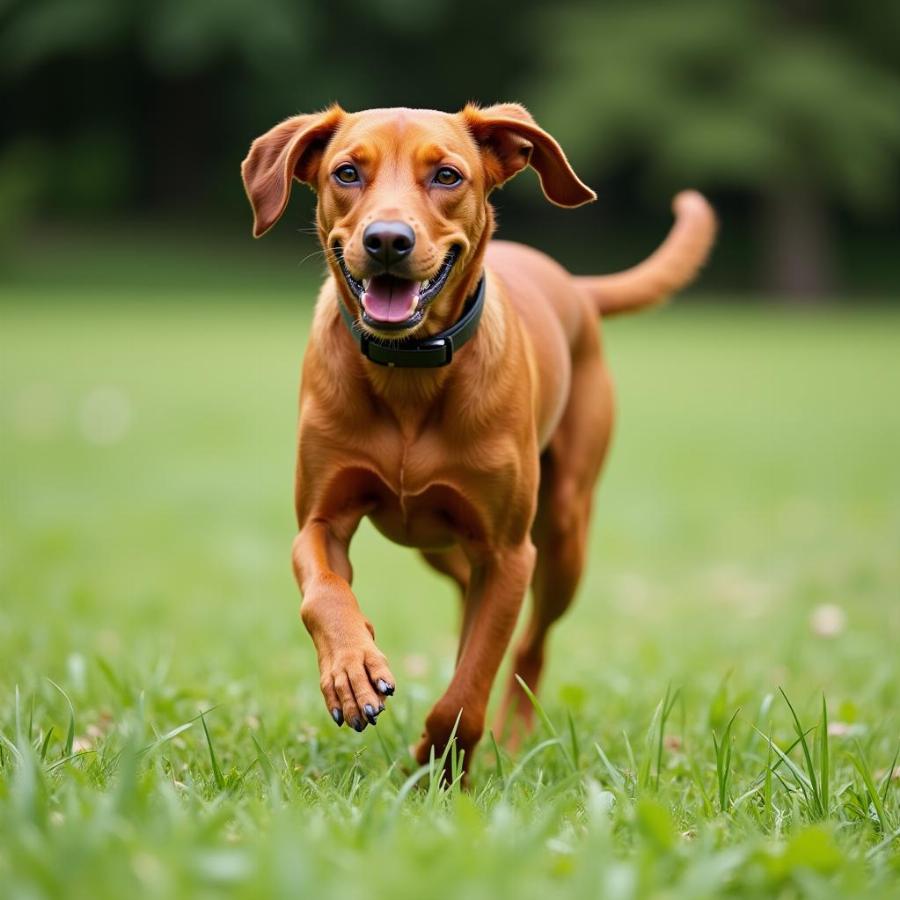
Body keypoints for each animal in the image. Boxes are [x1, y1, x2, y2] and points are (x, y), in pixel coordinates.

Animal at [241, 100, 716, 772]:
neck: (408, 370)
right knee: (470, 599)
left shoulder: (508, 552)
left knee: (527, 647)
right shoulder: (320, 521)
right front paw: (353, 670)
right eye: (346, 172)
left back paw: (512, 736)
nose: (388, 240)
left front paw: (438, 763)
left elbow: (467, 694)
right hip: (440, 546)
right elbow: (324, 593)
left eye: (447, 175)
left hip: (562, 534)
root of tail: (574, 286)